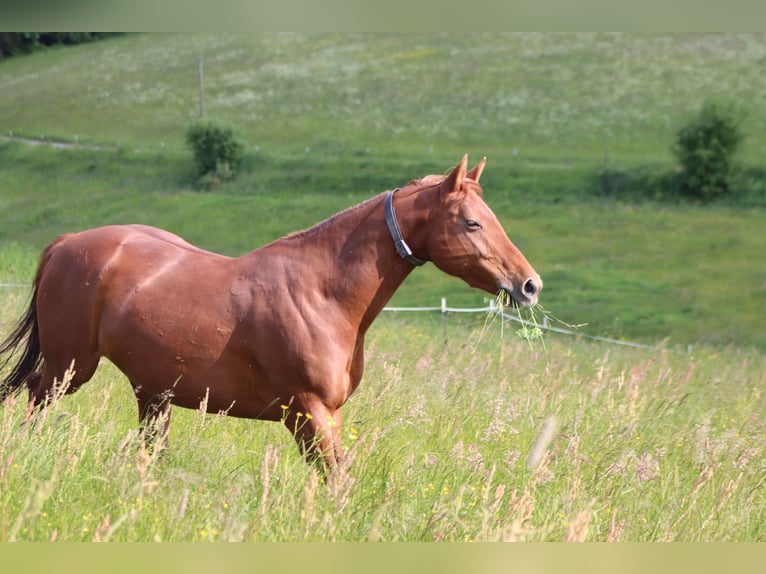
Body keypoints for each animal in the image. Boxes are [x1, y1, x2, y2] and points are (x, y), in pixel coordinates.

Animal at [1, 155, 540, 470]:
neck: (322, 292)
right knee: (36, 397)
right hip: (70, 368)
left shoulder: (326, 415)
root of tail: (67, 242)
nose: (529, 285)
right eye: (471, 223)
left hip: (151, 392)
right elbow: (336, 480)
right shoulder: (309, 412)